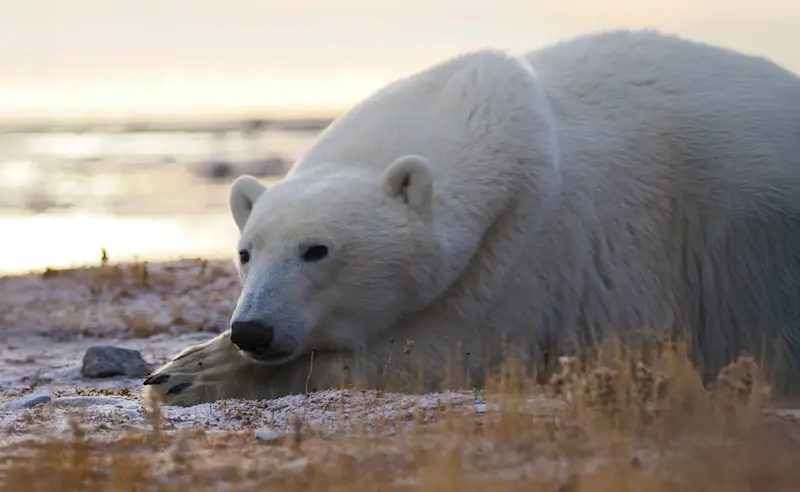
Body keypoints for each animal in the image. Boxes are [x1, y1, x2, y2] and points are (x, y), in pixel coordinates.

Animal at [142, 29, 800, 407]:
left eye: (317, 250)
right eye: (245, 252)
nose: (252, 329)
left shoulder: (533, 253)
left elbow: (448, 354)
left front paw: (196, 372)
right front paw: (184, 362)